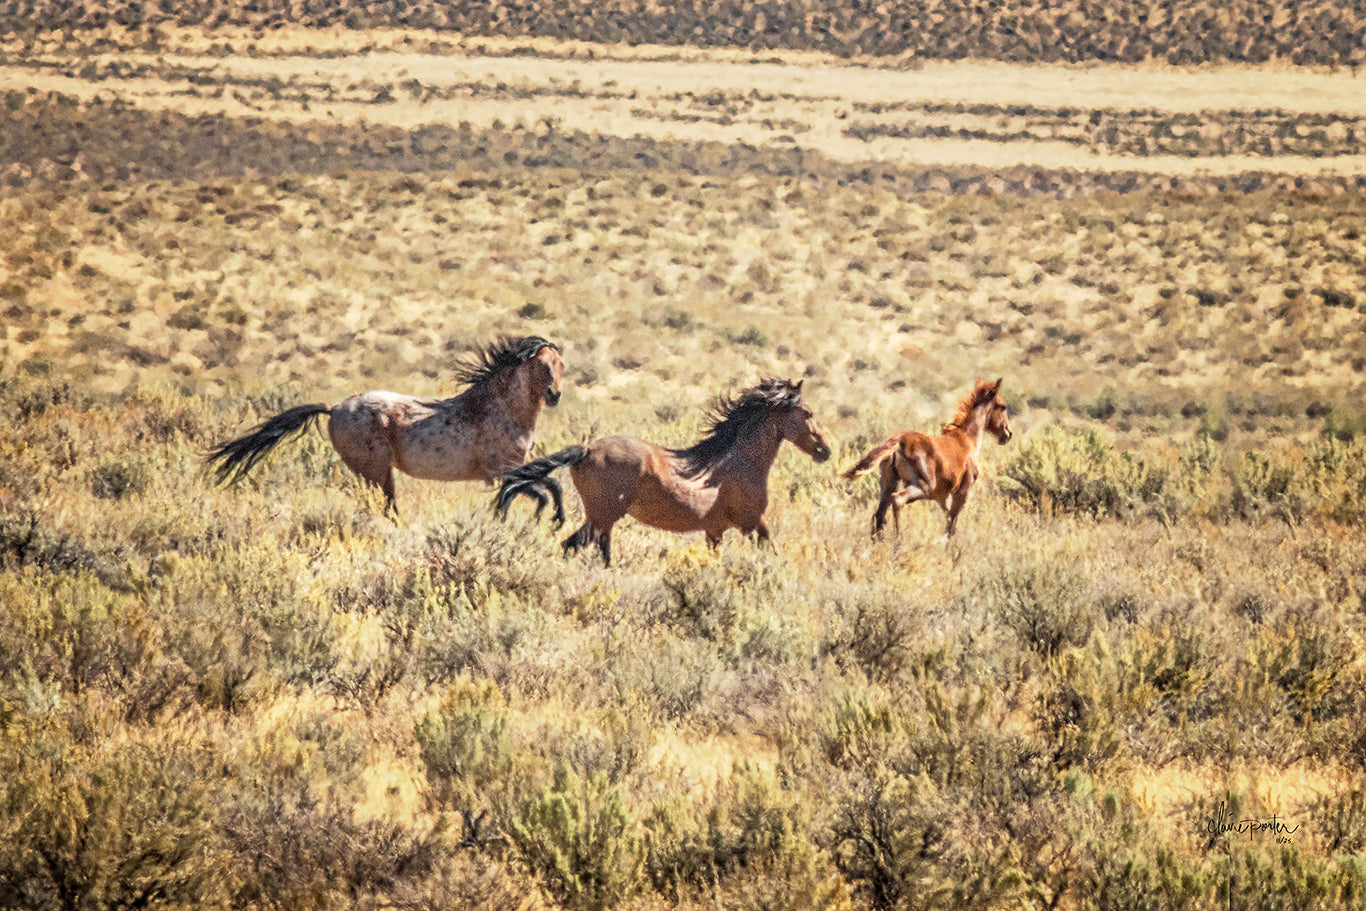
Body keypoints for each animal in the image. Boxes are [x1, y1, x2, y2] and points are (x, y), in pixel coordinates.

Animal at [203, 334, 565, 510]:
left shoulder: (514, 470)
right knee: (386, 509)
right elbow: (548, 489)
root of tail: (334, 408)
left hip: (374, 474)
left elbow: (546, 487)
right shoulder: (502, 470)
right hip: (376, 471)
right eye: (539, 364)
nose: (555, 394)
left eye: (560, 364)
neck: (500, 409)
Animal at [494, 376, 825, 562]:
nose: (825, 450)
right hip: (603, 516)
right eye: (807, 413)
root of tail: (585, 450)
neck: (739, 462)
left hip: (601, 519)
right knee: (575, 547)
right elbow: (772, 553)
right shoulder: (752, 522)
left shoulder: (715, 530)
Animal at [835, 379, 1010, 538]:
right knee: (897, 500)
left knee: (879, 514)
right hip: (922, 486)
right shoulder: (961, 493)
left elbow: (947, 521)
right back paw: (898, 542)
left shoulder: (942, 497)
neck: (965, 440)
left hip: (888, 484)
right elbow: (951, 527)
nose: (1007, 435)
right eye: (1003, 406)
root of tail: (898, 441)